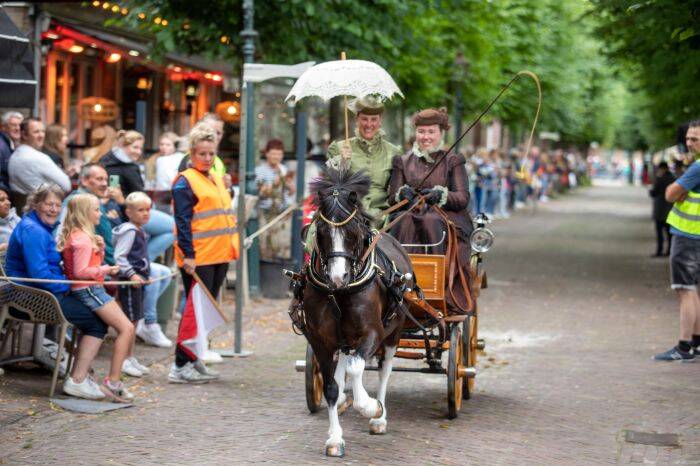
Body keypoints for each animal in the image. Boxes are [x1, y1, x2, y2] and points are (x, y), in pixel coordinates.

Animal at [302, 167, 416, 456]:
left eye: (352, 230)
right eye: (321, 230)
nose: (338, 277)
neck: (340, 293)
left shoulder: (372, 333)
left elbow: (356, 368)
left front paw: (370, 406)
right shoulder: (320, 340)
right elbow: (331, 386)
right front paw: (334, 438)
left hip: (393, 333)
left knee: (384, 369)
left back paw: (379, 418)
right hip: (345, 339)